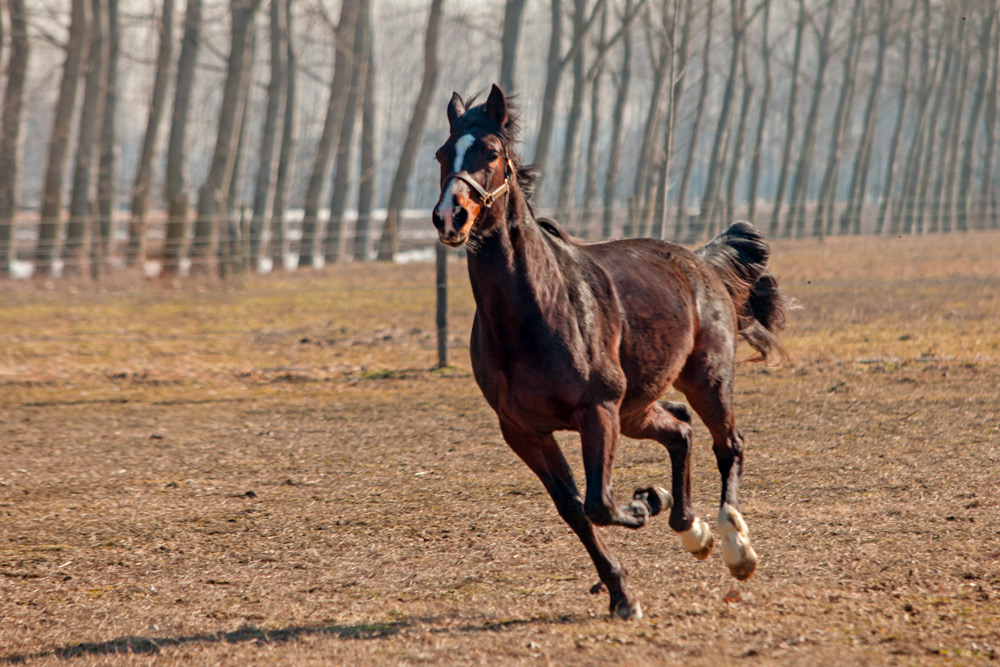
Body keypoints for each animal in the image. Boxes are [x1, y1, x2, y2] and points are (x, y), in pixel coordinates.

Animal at [431, 84, 788, 620]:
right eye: (441, 154)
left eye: (491, 153)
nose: (449, 217)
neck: (533, 313)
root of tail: (698, 261)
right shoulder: (524, 432)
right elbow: (575, 509)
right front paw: (622, 589)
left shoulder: (596, 411)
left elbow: (599, 502)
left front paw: (643, 504)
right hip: (635, 409)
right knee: (680, 429)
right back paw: (691, 528)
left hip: (705, 379)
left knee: (728, 446)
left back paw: (733, 545)